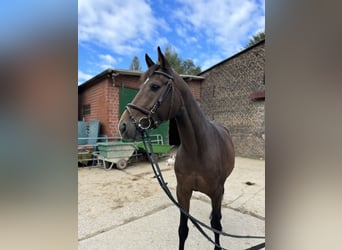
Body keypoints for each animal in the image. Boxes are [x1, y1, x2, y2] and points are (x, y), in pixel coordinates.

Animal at [118, 47, 235, 250]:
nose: (123, 126)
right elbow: (183, 230)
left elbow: (216, 226)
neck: (197, 149)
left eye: (154, 86)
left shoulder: (215, 192)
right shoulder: (182, 192)